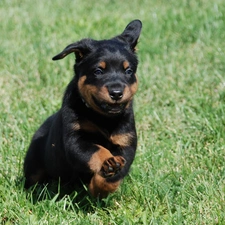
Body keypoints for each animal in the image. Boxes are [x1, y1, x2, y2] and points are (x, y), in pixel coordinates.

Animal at [23, 19, 142, 199]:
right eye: (98, 71)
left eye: (128, 71)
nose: (116, 93)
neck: (104, 118)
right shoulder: (75, 139)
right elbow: (95, 149)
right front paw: (107, 162)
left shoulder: (125, 142)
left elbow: (115, 175)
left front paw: (99, 188)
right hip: (34, 160)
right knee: (32, 176)